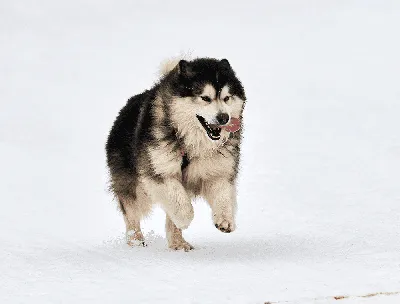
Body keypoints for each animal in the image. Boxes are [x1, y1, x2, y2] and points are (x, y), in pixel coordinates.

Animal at [104, 58, 245, 251]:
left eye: (226, 98)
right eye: (205, 98)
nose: (224, 118)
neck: (192, 143)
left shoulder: (216, 172)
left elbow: (223, 194)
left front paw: (225, 219)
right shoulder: (158, 171)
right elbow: (181, 203)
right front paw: (185, 218)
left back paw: (178, 243)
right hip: (132, 182)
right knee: (131, 209)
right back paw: (135, 240)